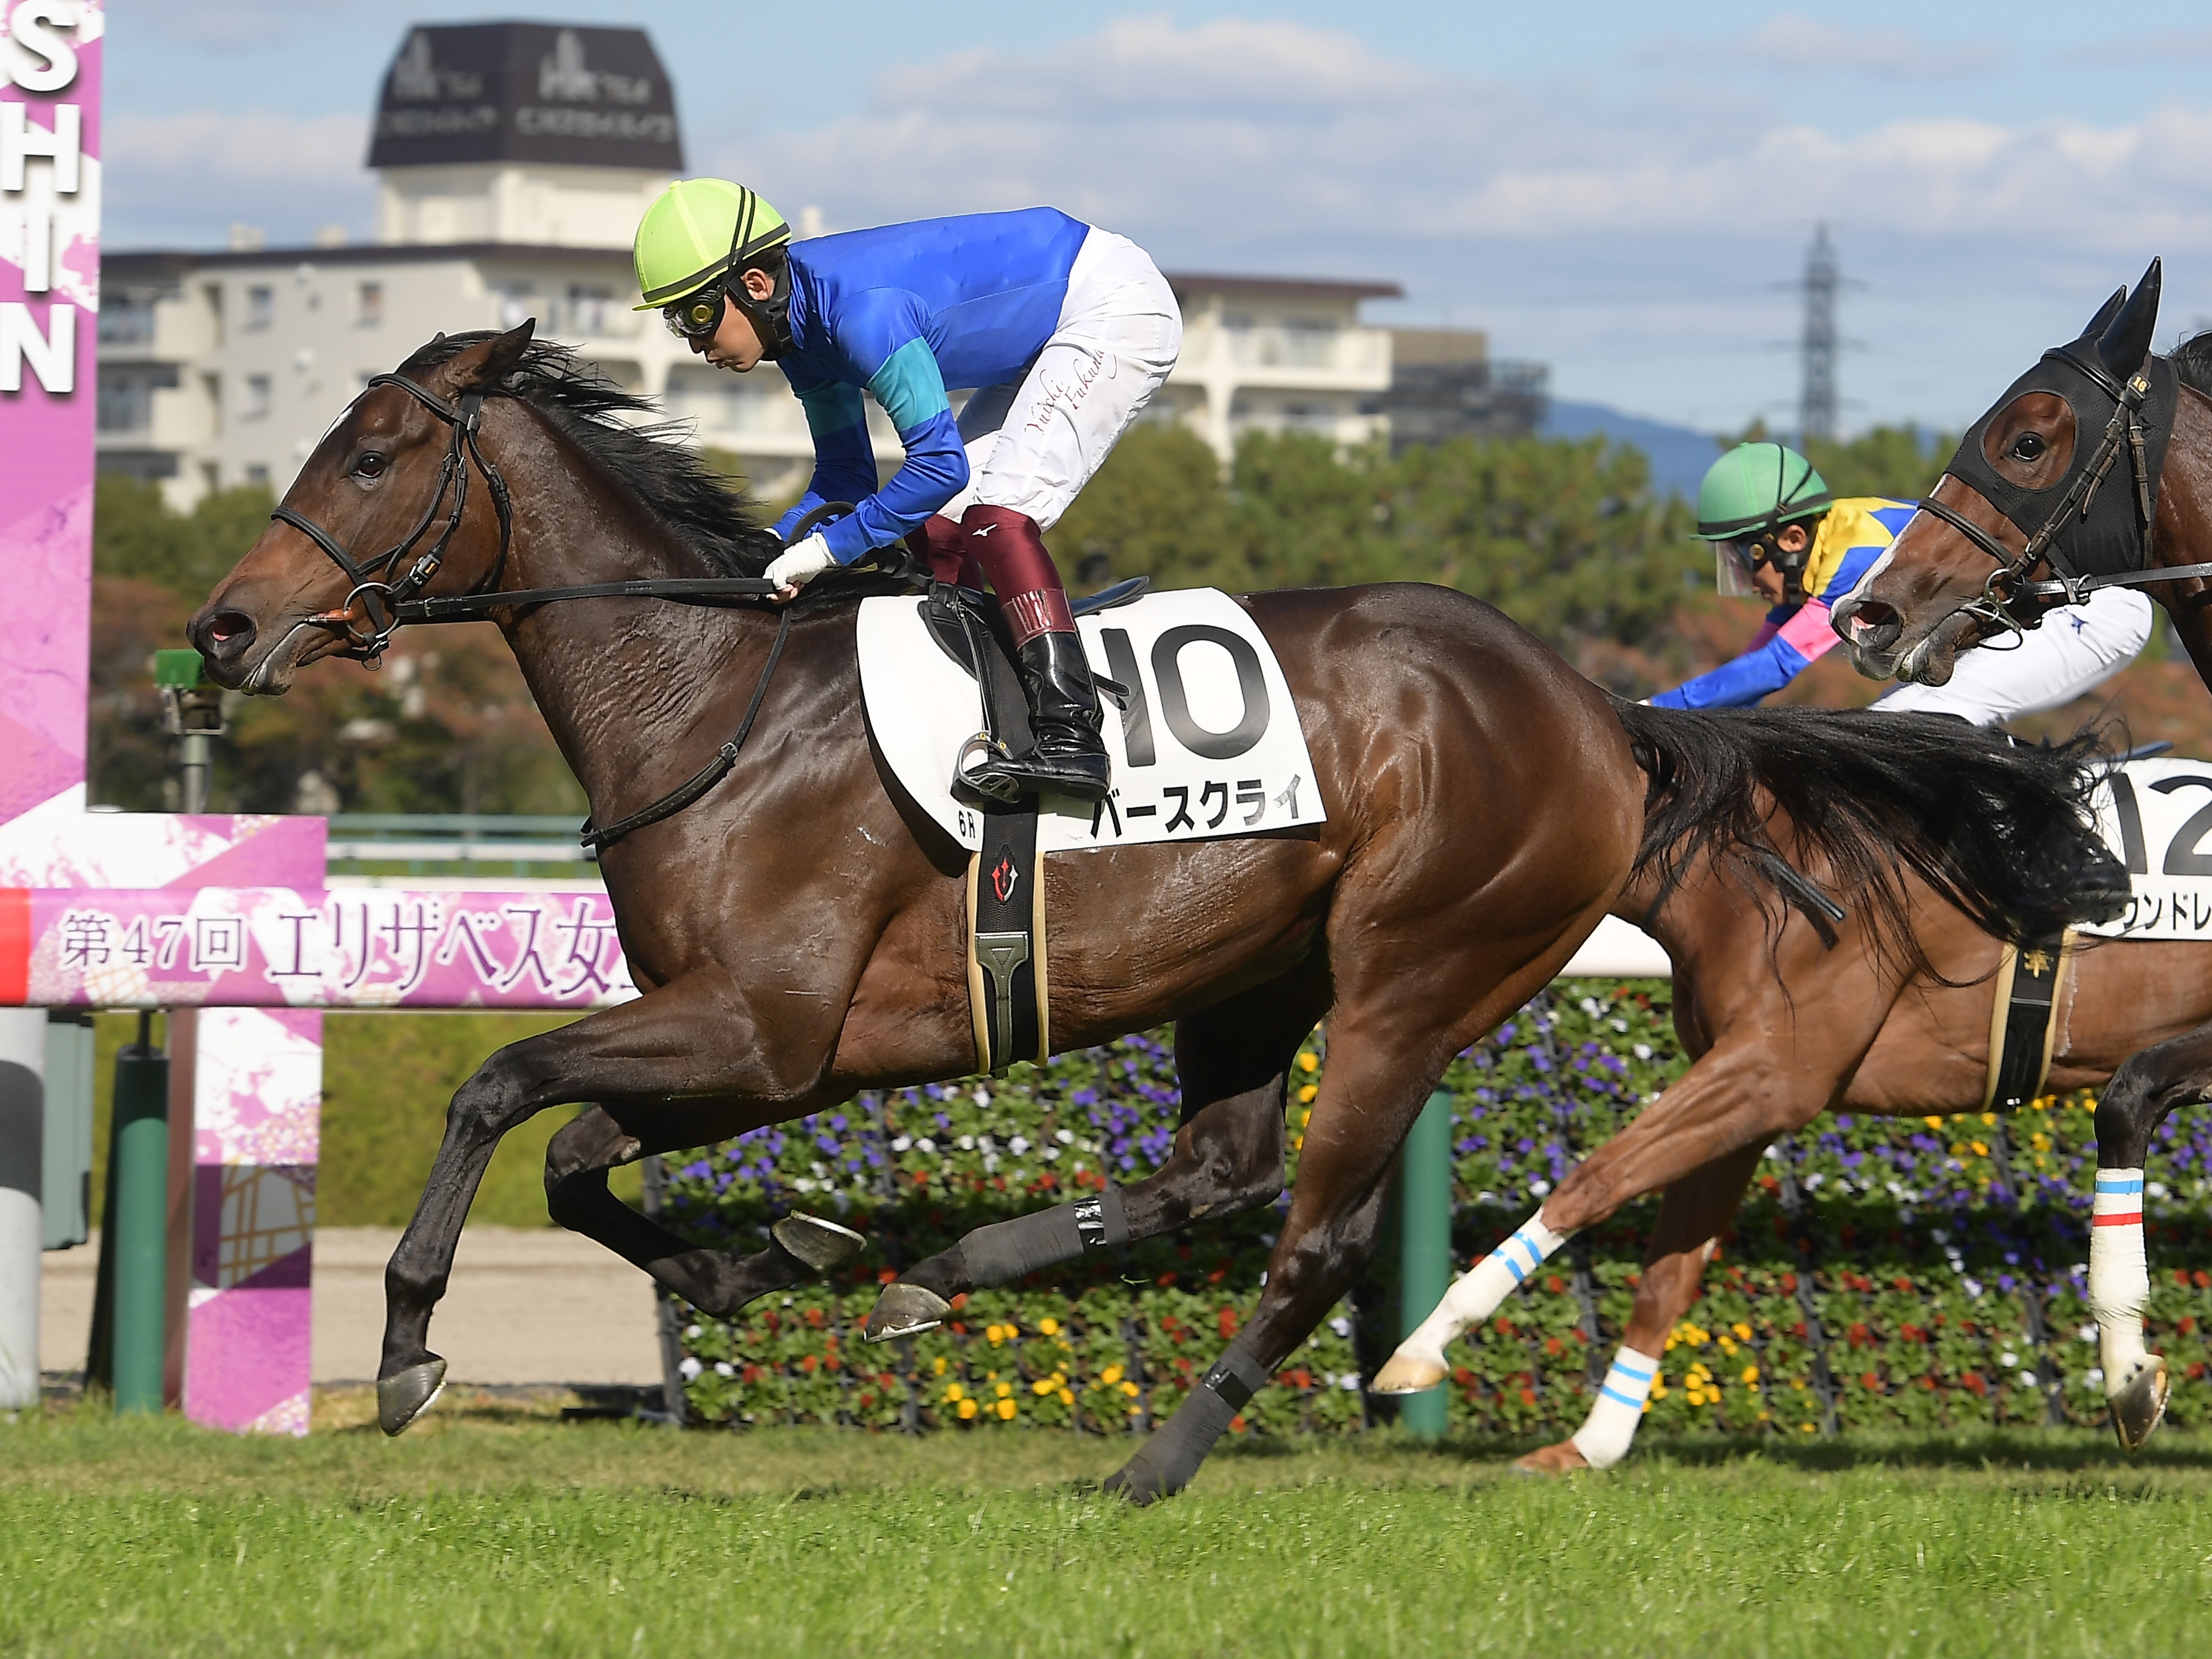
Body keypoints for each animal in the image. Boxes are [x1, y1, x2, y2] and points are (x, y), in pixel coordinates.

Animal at [187, 323, 2116, 1501]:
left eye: (370, 455)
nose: (223, 623)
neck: (712, 696)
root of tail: (1600, 710)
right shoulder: (763, 1044)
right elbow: (583, 1161)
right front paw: (767, 1255)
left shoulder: (769, 1027)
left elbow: (494, 1086)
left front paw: (408, 1345)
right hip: (1249, 970)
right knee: (1215, 1171)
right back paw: (950, 1272)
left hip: (1413, 962)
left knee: (1315, 1228)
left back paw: (1162, 1445)